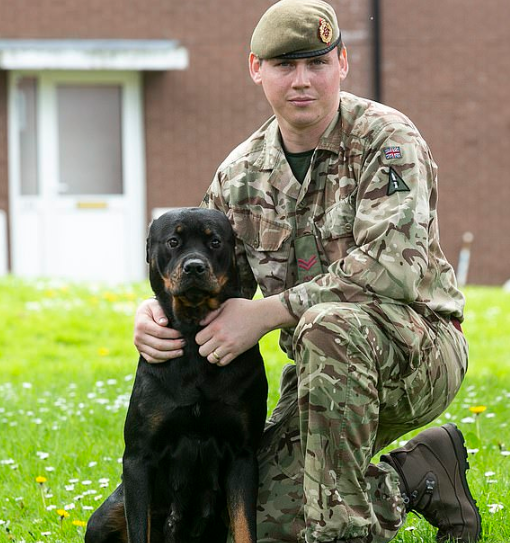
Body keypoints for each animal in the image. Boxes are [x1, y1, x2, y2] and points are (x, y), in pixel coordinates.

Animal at [84, 208, 266, 543]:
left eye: (215, 241)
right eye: (173, 241)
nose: (194, 266)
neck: (193, 334)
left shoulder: (243, 455)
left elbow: (245, 527)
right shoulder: (138, 457)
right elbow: (139, 528)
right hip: (106, 514)